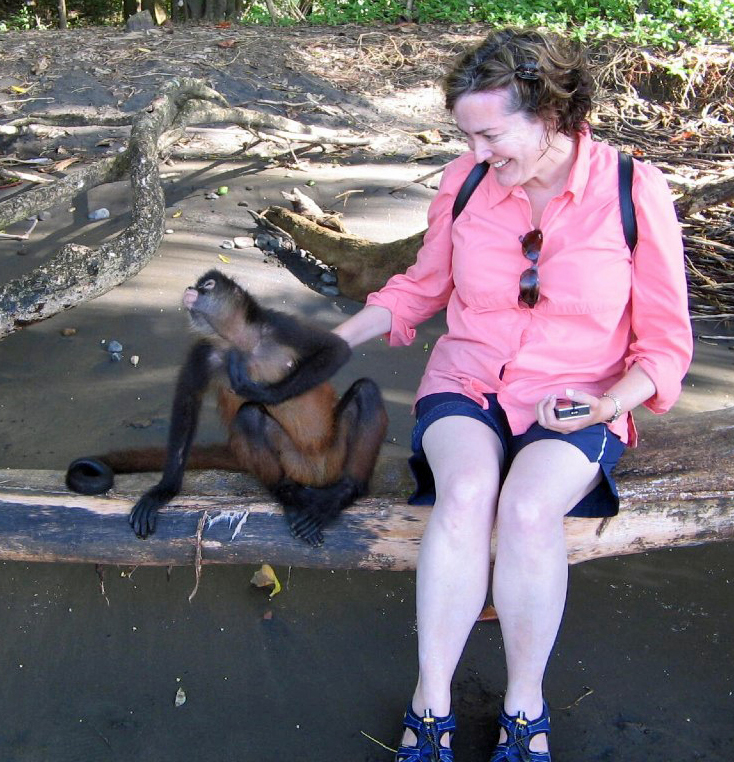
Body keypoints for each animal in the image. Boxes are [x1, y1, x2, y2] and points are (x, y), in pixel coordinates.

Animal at [66, 270, 392, 544]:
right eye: (198, 284)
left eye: (207, 285)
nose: (191, 289)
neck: (243, 342)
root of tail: (318, 471)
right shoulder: (205, 351)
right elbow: (187, 405)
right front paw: (164, 490)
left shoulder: (278, 324)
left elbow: (337, 350)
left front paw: (260, 391)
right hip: (291, 461)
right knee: (249, 415)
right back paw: (288, 493)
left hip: (335, 452)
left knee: (366, 391)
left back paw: (345, 492)